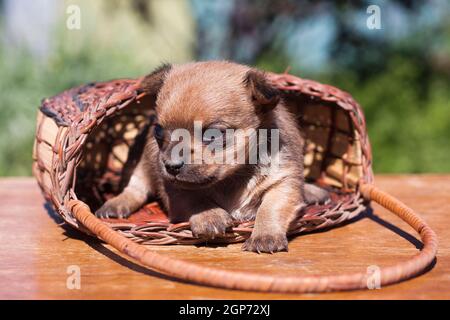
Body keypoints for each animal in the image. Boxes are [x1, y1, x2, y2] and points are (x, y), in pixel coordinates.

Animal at [96, 61, 326, 254]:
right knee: (134, 189)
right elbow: (194, 198)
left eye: (213, 135)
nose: (171, 166)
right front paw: (210, 216)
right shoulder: (175, 189)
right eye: (159, 132)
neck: (233, 178)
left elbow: (270, 208)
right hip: (141, 166)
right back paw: (114, 205)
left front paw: (265, 236)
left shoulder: (283, 182)